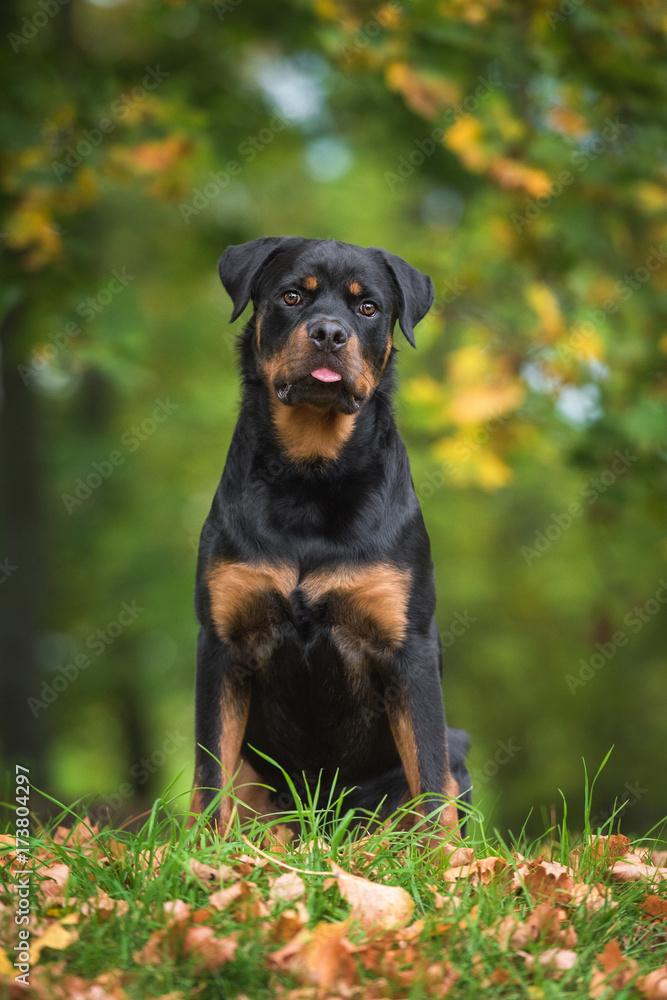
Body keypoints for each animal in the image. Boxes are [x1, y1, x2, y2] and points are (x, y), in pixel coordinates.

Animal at [192, 238, 474, 840]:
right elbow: (209, 770)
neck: (311, 475)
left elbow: (430, 773)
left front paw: (445, 859)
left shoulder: (407, 647)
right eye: (292, 296)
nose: (328, 332)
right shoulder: (221, 643)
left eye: (367, 307)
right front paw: (202, 850)